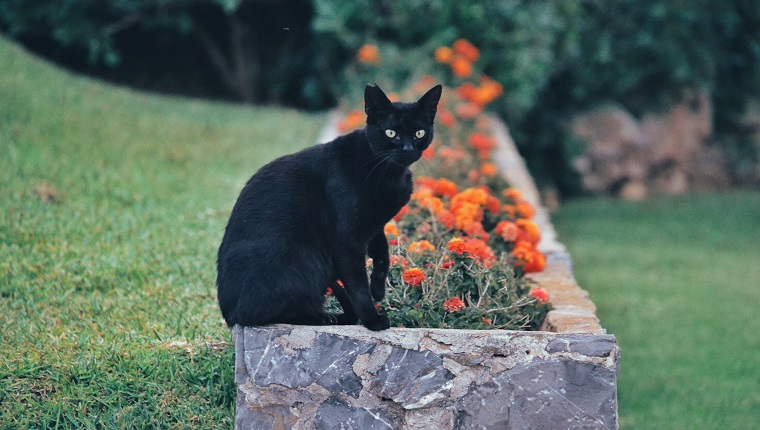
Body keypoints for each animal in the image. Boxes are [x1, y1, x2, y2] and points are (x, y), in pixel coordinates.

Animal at [217, 85, 442, 332]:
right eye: (391, 133)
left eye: (419, 133)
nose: (408, 149)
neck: (387, 171)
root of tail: (229, 315)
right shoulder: (347, 240)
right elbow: (358, 286)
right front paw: (372, 320)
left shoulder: (374, 225)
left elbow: (383, 254)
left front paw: (378, 289)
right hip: (304, 260)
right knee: (266, 312)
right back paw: (322, 318)